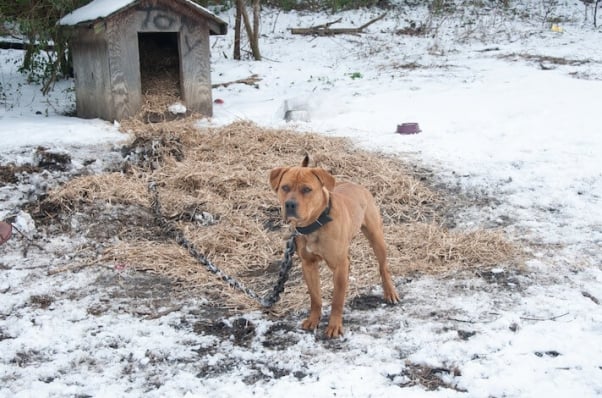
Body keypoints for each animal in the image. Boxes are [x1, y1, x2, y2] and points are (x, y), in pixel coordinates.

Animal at [268, 155, 398, 336]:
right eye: (285, 187)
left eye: (307, 189)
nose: (290, 204)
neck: (314, 224)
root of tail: (356, 184)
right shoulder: (308, 265)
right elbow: (315, 297)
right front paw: (313, 320)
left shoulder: (339, 266)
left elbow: (337, 300)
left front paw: (334, 326)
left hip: (376, 237)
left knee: (383, 267)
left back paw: (390, 292)